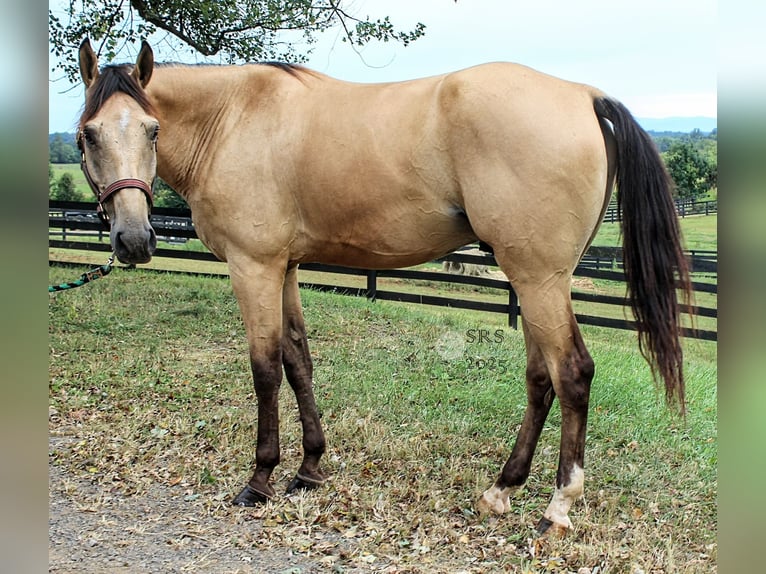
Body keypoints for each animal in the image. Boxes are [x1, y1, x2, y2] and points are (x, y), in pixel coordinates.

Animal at [75, 38, 691, 536]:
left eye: (153, 130)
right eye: (88, 135)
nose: (134, 239)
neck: (232, 119)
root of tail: (583, 94)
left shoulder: (254, 266)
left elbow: (265, 369)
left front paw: (261, 478)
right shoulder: (286, 266)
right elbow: (298, 359)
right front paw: (309, 469)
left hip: (539, 280)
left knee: (572, 374)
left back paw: (557, 507)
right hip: (536, 279)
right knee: (541, 379)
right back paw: (501, 490)